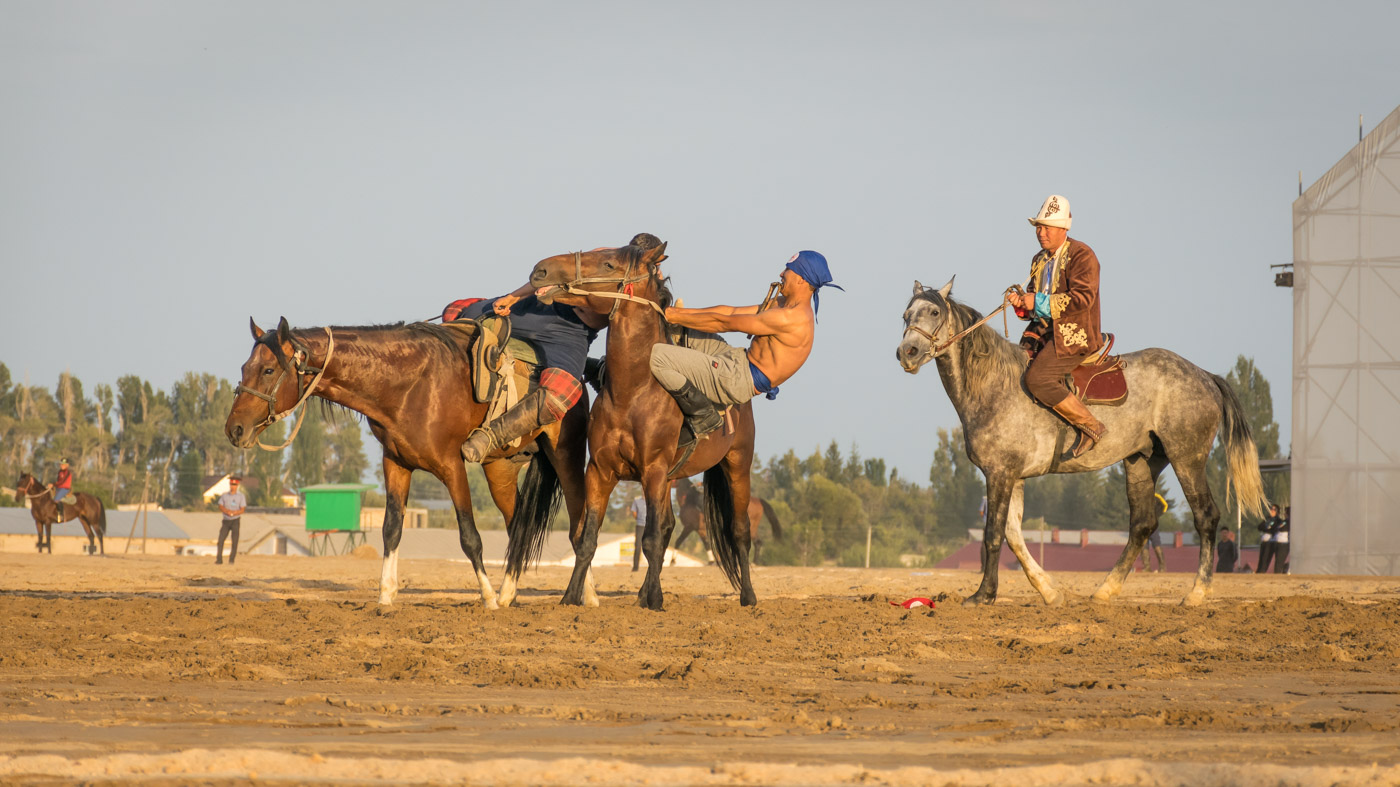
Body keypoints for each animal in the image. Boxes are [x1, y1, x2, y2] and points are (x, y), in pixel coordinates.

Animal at [222, 316, 590, 607]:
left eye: (269, 369)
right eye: (244, 368)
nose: (234, 429)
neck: (410, 385)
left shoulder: (452, 467)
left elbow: (469, 536)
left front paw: (486, 598)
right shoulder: (396, 465)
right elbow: (391, 529)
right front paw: (385, 595)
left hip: (566, 460)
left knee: (577, 525)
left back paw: (581, 595)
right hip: (500, 470)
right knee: (519, 529)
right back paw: (509, 594)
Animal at [526, 238, 761, 607]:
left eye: (608, 264)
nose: (541, 270)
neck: (633, 392)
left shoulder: (653, 471)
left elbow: (650, 539)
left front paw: (654, 601)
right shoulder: (601, 472)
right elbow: (589, 538)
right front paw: (571, 598)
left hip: (736, 465)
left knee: (738, 531)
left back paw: (748, 597)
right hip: (671, 478)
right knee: (667, 527)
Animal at [896, 278, 1271, 602]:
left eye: (934, 312)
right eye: (905, 315)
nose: (907, 352)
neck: (994, 385)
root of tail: (1205, 376)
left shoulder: (1000, 474)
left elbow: (993, 535)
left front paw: (984, 595)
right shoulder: (1013, 476)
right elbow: (1014, 535)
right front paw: (1049, 591)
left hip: (1187, 458)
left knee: (1206, 516)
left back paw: (1196, 592)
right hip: (1141, 461)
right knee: (1143, 524)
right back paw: (1105, 590)